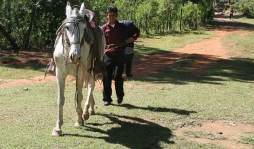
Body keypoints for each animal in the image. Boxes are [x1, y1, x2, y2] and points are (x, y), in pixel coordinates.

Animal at [51, 2, 104, 137]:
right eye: (67, 27)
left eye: (84, 29)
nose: (75, 55)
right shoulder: (60, 74)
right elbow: (60, 99)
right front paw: (57, 128)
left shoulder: (80, 72)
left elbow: (78, 96)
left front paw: (79, 120)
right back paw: (90, 109)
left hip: (90, 68)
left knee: (91, 85)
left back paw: (85, 112)